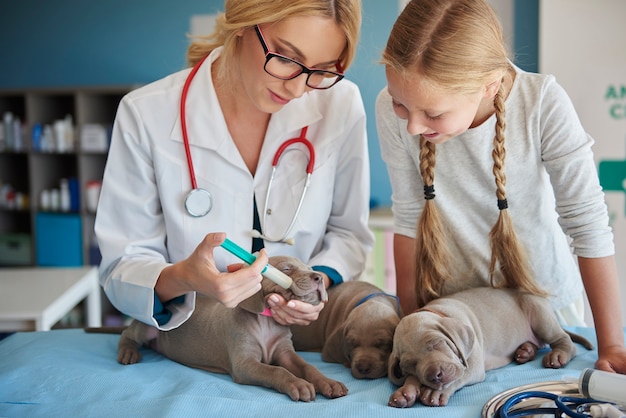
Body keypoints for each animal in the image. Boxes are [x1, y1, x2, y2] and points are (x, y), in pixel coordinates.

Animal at [116, 255, 346, 402]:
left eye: (309, 268)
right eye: (286, 269)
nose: (318, 277)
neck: (266, 322)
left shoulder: (285, 352)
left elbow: (308, 367)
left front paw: (327, 382)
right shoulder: (244, 364)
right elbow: (276, 370)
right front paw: (298, 384)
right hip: (148, 326)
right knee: (127, 333)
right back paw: (128, 352)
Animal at [388, 286, 592, 406]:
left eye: (437, 343)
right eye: (410, 365)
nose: (434, 375)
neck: (439, 312)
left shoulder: (473, 366)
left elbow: (459, 376)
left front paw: (434, 392)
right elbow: (413, 379)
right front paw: (406, 391)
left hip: (539, 314)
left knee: (564, 340)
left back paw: (557, 354)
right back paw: (525, 351)